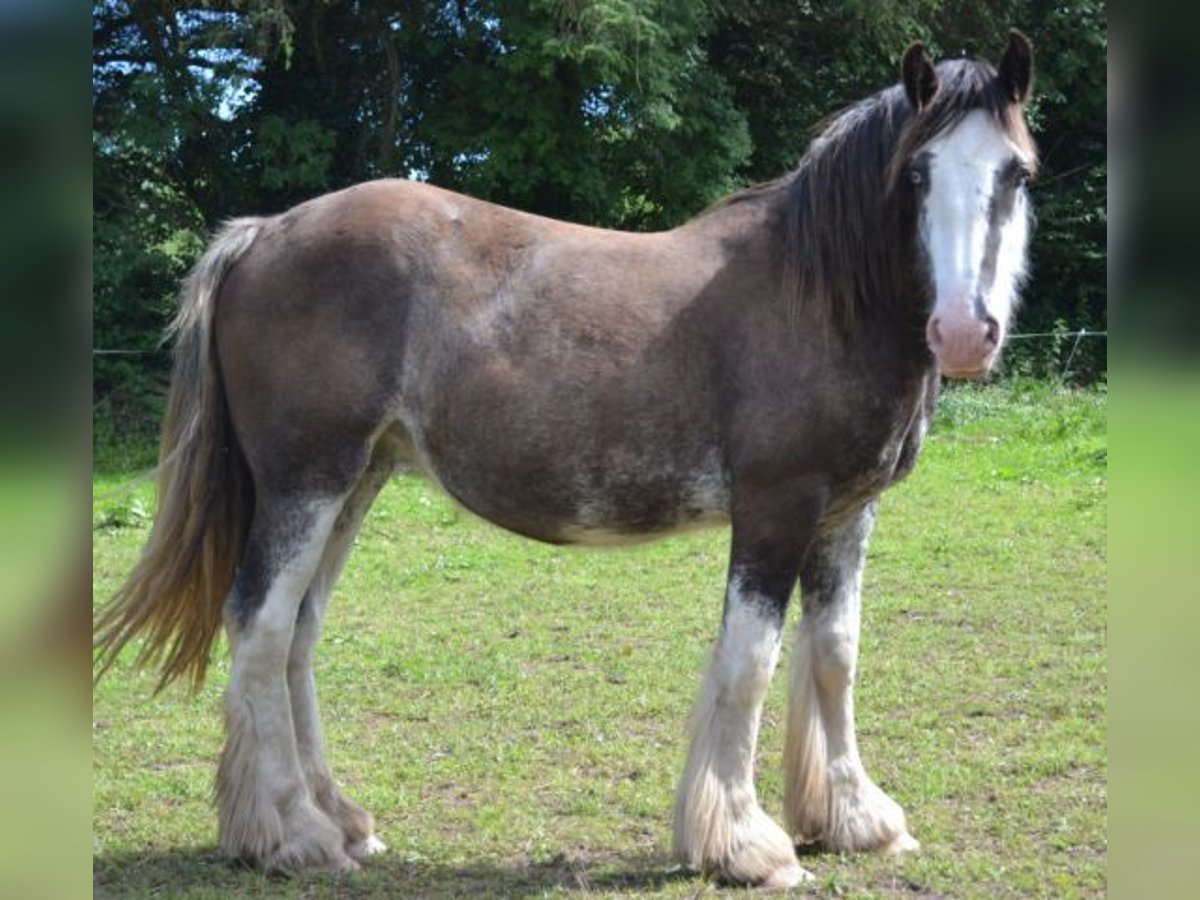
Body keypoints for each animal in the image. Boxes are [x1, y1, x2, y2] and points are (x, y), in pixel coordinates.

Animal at [93, 33, 1036, 888]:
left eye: (1017, 173)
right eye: (916, 174)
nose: (965, 333)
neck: (822, 297)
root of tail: (261, 235)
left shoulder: (845, 511)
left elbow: (835, 653)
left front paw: (854, 819)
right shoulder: (777, 505)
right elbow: (750, 665)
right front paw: (744, 845)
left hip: (355, 482)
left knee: (297, 631)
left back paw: (338, 820)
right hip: (307, 482)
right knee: (258, 626)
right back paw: (292, 835)